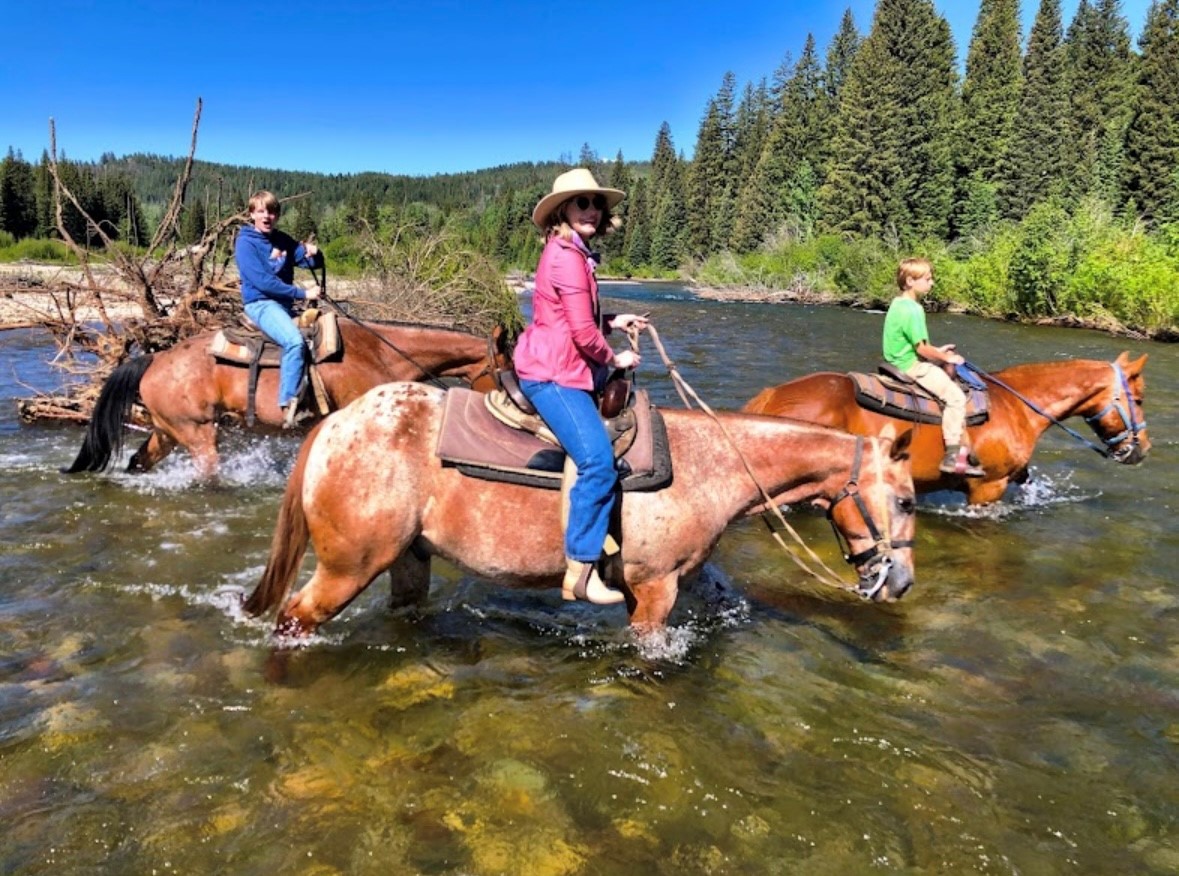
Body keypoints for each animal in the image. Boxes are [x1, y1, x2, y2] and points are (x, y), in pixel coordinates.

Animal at [61, 318, 511, 478]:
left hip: (167, 432)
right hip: (197, 435)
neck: (381, 353)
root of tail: (154, 358)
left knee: (139, 460)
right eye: (508, 370)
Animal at [241, 384, 919, 636]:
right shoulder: (654, 589)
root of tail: (333, 424)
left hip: (409, 559)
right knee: (295, 616)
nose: (902, 582)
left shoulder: (690, 576)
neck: (712, 466)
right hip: (348, 567)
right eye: (907, 500)